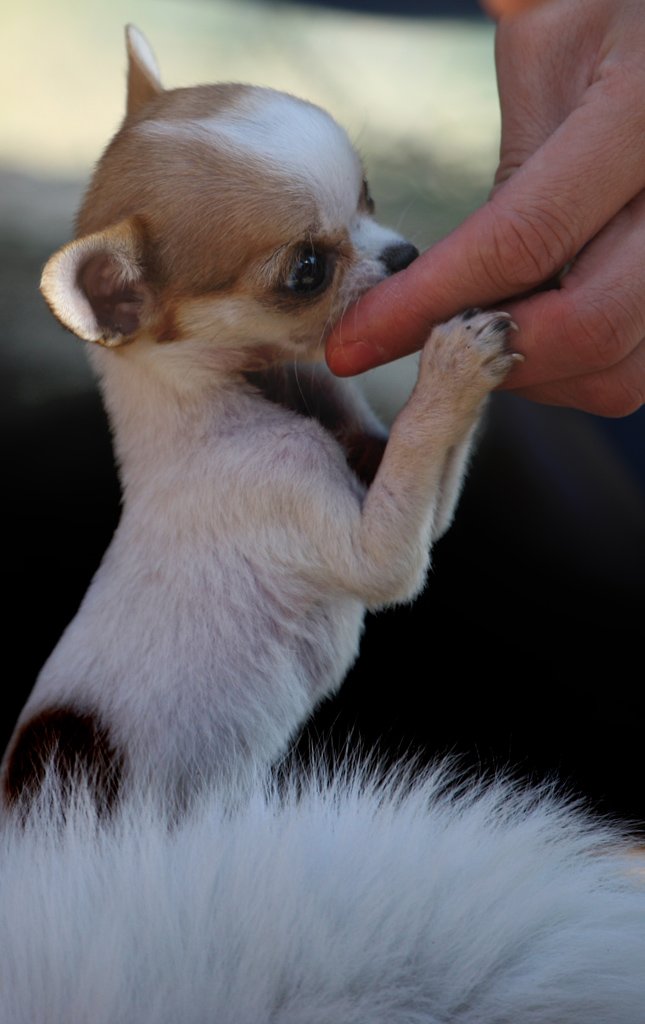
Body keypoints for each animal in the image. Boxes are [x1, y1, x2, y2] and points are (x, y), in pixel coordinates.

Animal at [0, 25, 516, 806]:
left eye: (368, 196)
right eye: (307, 272)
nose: (407, 256)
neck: (224, 399)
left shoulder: (376, 465)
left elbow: (410, 455)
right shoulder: (364, 543)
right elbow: (406, 503)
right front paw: (451, 365)